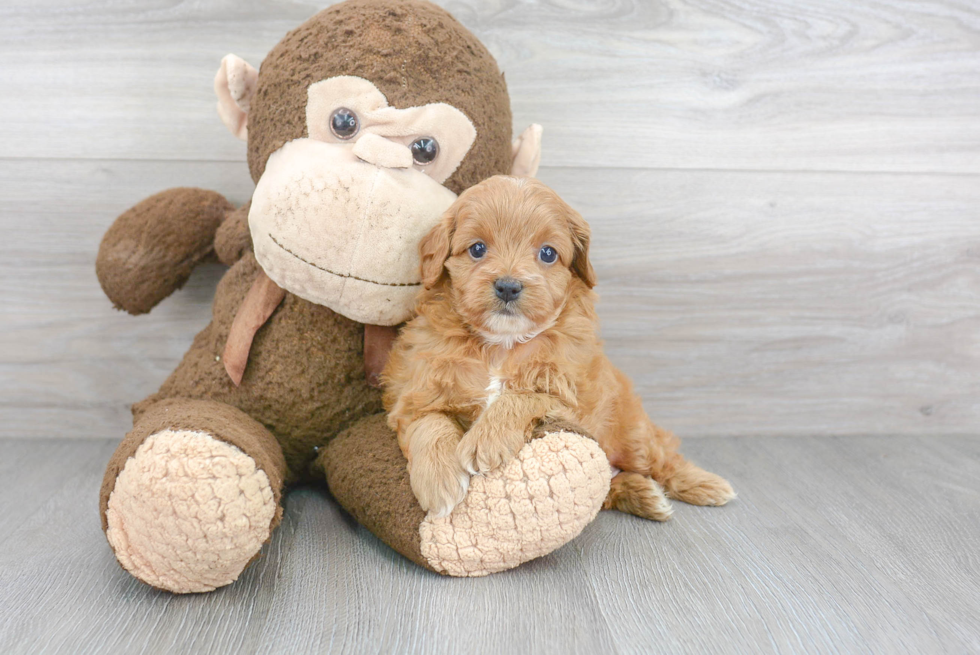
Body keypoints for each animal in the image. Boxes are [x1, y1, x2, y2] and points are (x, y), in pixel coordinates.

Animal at [382, 173, 736, 516]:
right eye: (477, 249)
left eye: (548, 253)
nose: (508, 286)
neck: (502, 344)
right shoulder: (417, 389)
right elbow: (429, 423)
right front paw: (438, 480)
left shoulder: (572, 396)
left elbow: (524, 395)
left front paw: (485, 441)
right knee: (608, 487)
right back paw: (643, 495)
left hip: (631, 434)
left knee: (661, 459)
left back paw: (704, 485)